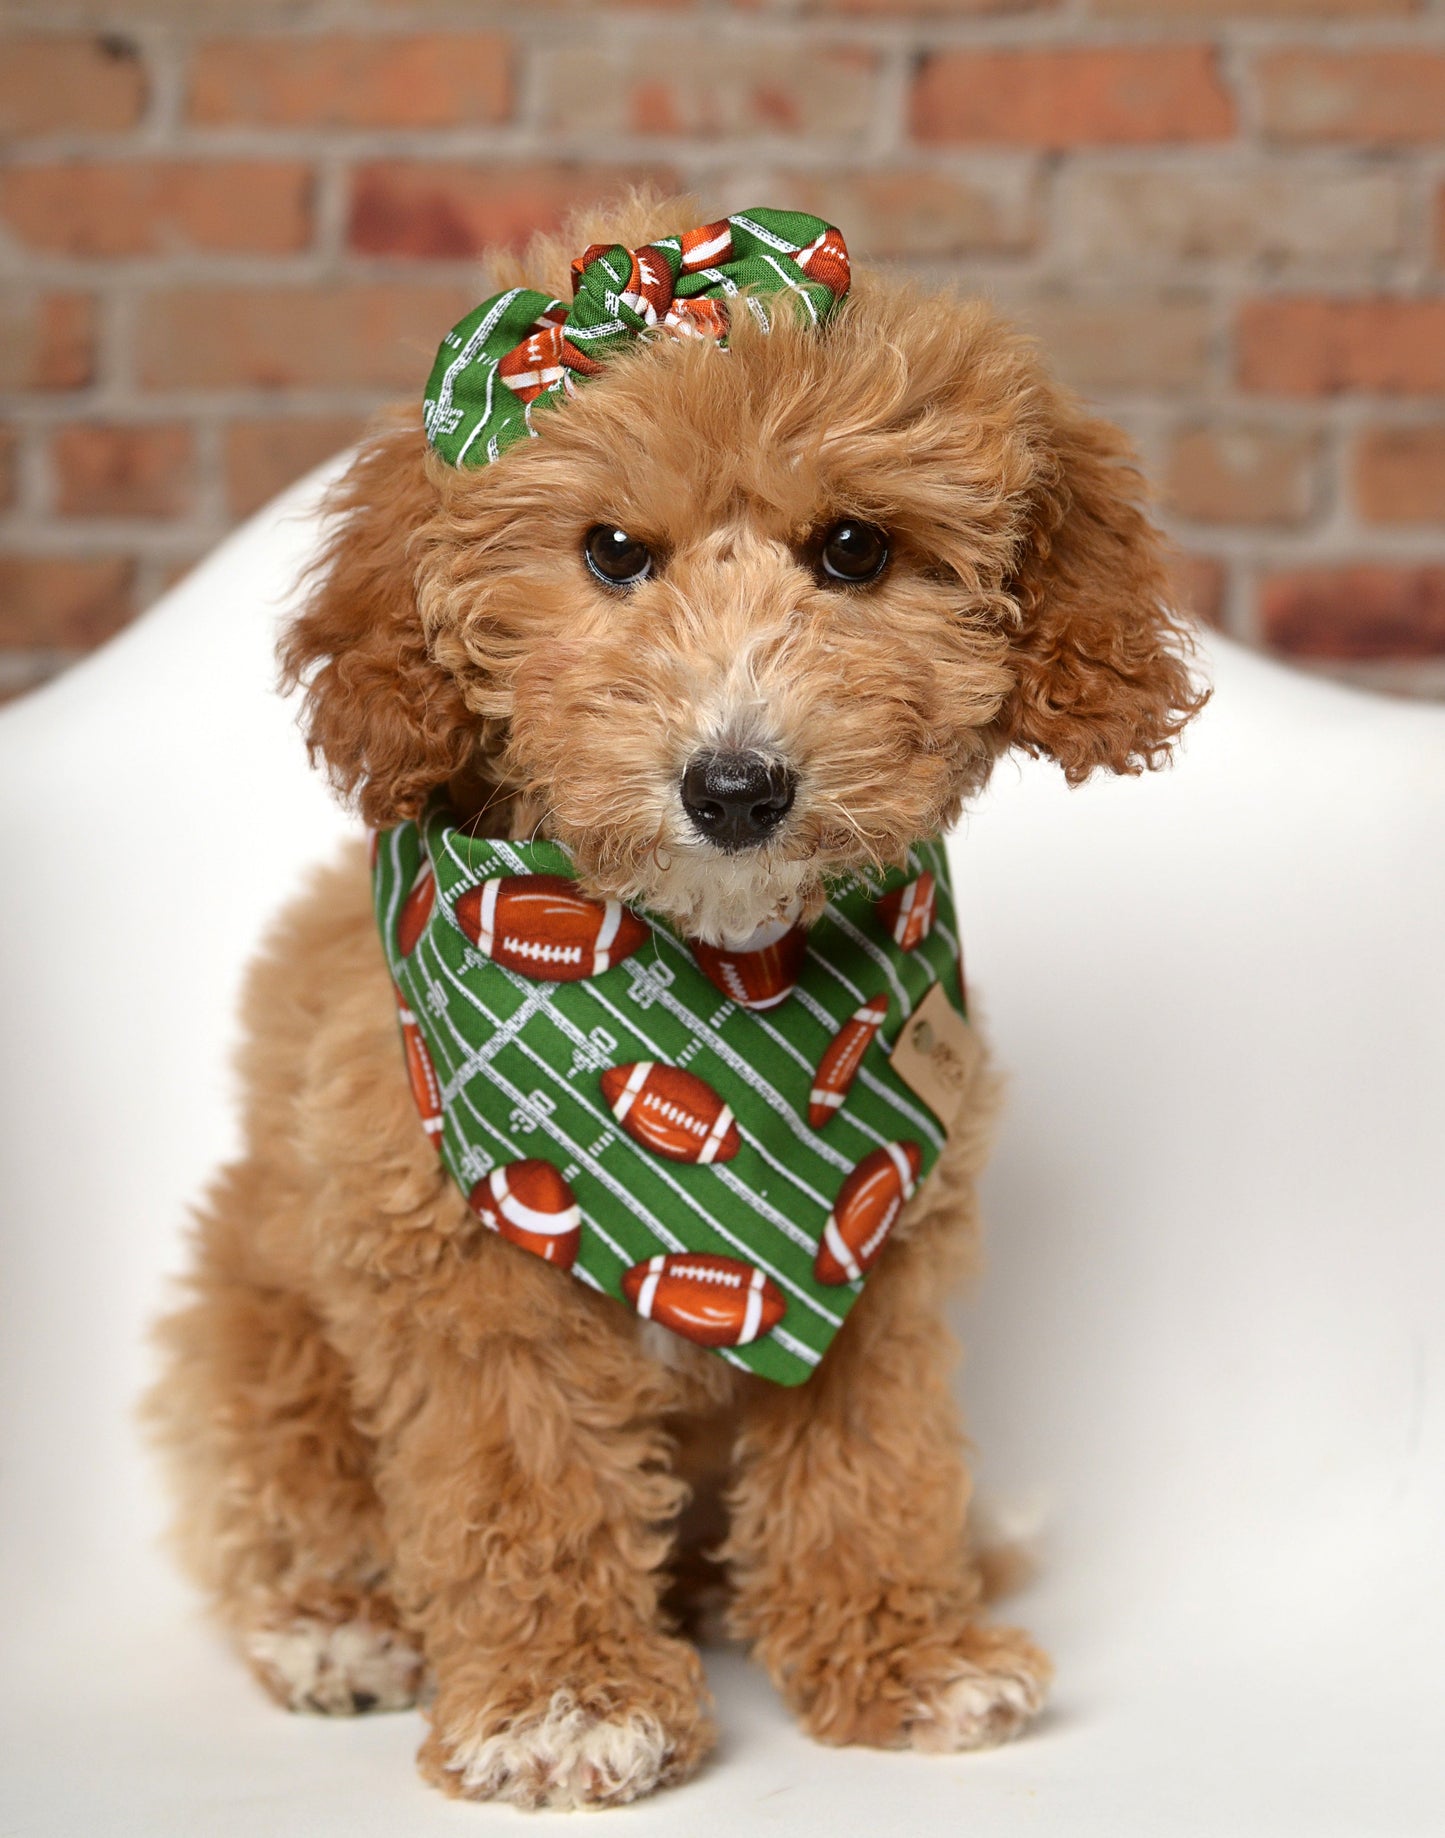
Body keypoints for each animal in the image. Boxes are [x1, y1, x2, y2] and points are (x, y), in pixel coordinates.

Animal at [148, 190, 1206, 1808]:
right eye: (609, 553)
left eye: (853, 548)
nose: (736, 784)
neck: (719, 979)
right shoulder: (459, 1266)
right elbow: (524, 1479)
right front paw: (563, 1699)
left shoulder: (877, 1251)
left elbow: (870, 1457)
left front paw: (899, 1654)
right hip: (248, 1315)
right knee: (280, 1487)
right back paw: (334, 1624)